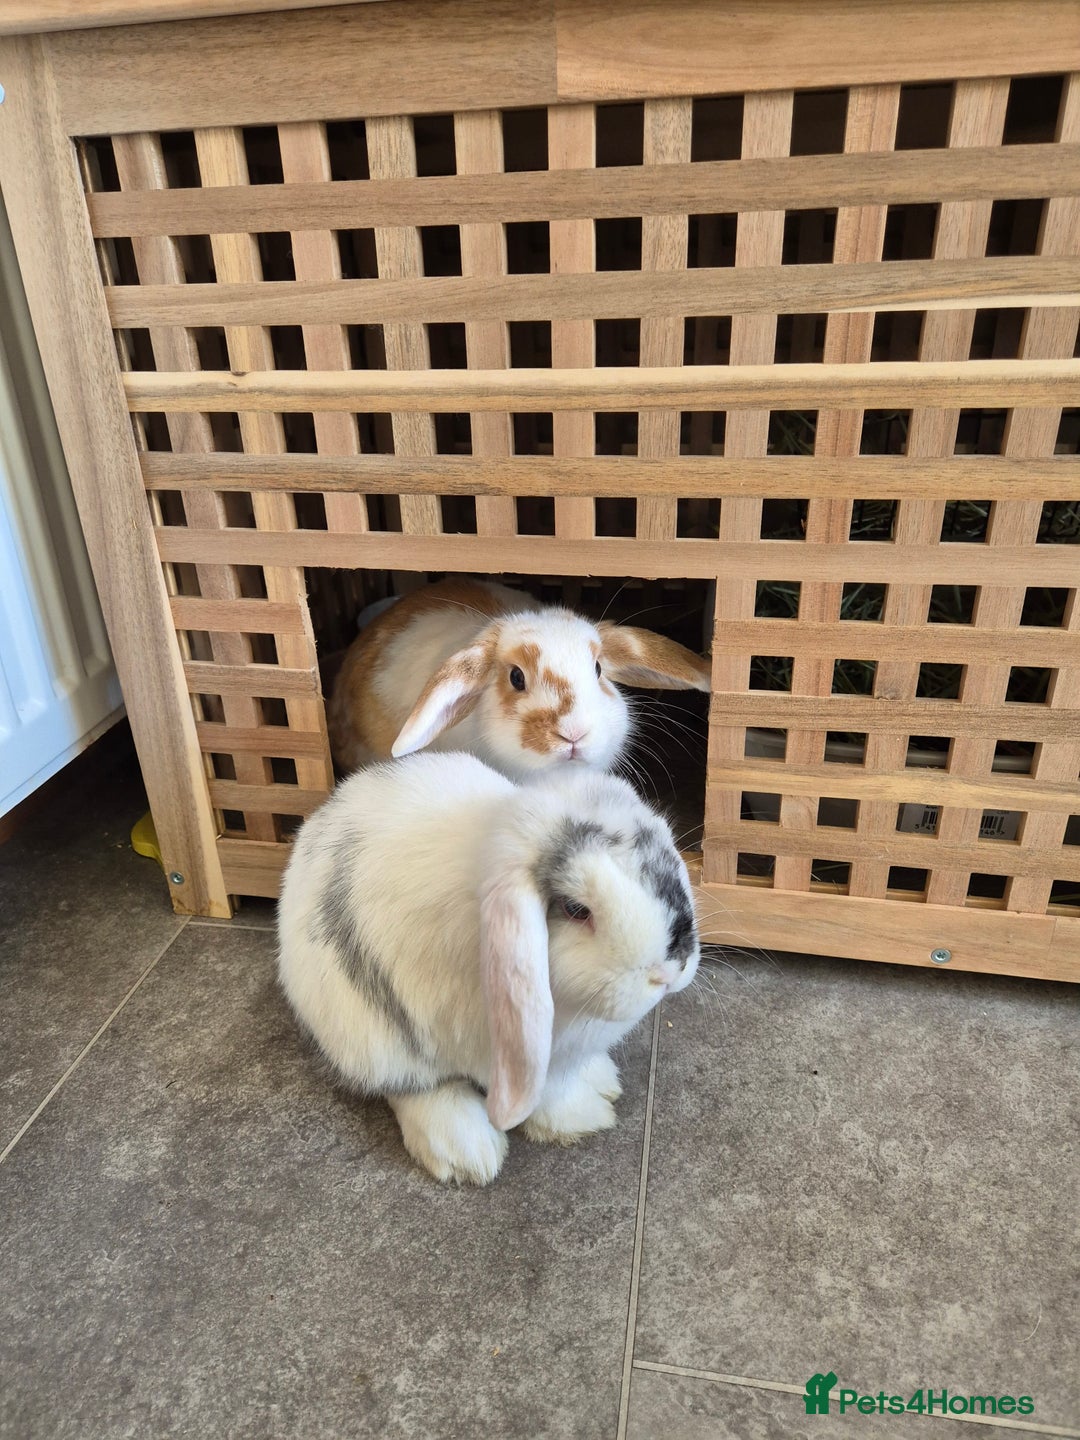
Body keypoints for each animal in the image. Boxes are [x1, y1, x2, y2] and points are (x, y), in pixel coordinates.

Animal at [276, 750, 700, 1185]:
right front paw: (584, 1120)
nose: (670, 971)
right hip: (367, 1034)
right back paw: (468, 1153)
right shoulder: (531, 1056)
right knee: (412, 1086)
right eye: (576, 909)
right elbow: (546, 1090)